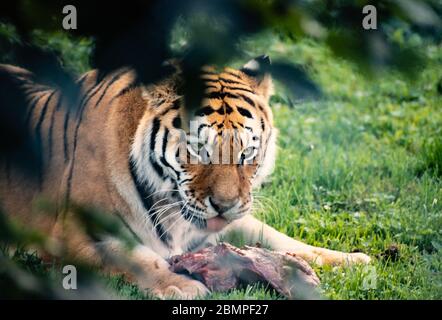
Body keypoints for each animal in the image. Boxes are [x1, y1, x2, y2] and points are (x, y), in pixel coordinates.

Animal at [0, 56, 370, 298]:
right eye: (199, 150)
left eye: (247, 153)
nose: (224, 205)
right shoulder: (73, 233)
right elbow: (135, 259)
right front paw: (182, 285)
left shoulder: (233, 222)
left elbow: (282, 239)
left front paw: (352, 261)